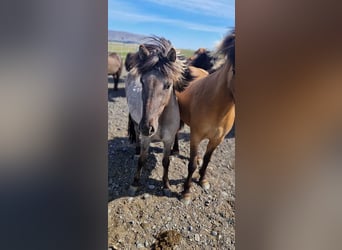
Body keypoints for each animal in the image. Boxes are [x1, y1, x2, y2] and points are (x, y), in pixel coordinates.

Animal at [125, 36, 190, 193]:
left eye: (168, 85)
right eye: (142, 81)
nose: (147, 128)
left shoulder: (168, 140)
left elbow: (166, 162)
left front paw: (166, 185)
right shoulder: (146, 139)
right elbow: (142, 160)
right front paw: (135, 183)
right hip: (135, 122)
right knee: (135, 132)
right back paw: (136, 149)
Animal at [176, 30, 235, 204]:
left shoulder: (217, 139)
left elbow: (208, 160)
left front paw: (203, 180)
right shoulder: (195, 137)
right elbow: (191, 166)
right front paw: (186, 192)